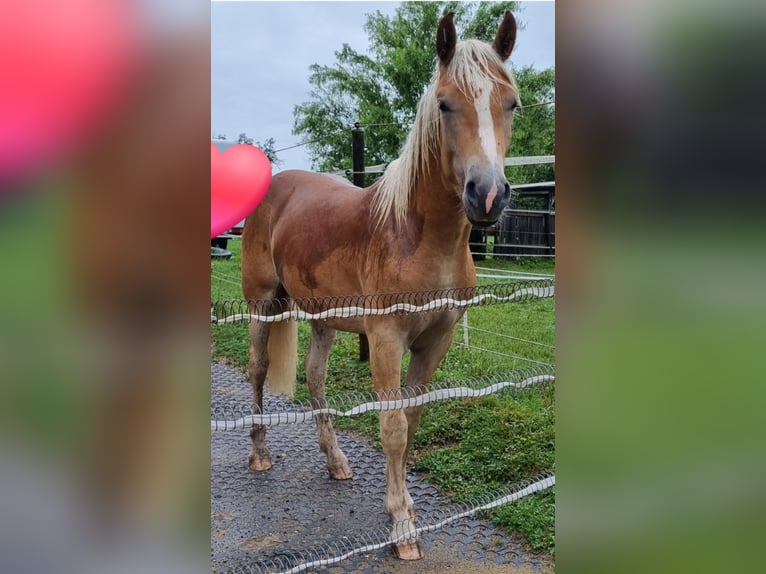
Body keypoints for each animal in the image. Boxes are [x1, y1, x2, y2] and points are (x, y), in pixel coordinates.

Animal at [243, 10, 520, 564]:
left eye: (513, 104)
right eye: (444, 103)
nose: (488, 195)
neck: (415, 236)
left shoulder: (436, 341)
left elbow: (412, 420)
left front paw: (406, 507)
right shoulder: (387, 339)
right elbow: (392, 428)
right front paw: (402, 528)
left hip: (323, 316)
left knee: (315, 376)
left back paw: (336, 461)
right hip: (262, 305)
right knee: (259, 371)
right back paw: (260, 454)